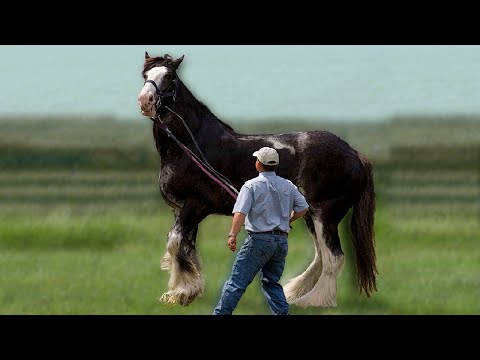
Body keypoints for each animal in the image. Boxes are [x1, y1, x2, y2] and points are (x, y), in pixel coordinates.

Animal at [137, 52, 376, 308]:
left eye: (169, 77)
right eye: (145, 75)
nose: (145, 101)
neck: (191, 144)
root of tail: (355, 154)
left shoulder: (195, 205)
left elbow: (174, 242)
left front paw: (180, 293)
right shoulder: (181, 208)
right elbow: (187, 247)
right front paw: (185, 292)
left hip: (326, 214)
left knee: (333, 258)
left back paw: (312, 301)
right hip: (311, 214)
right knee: (321, 256)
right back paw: (294, 292)